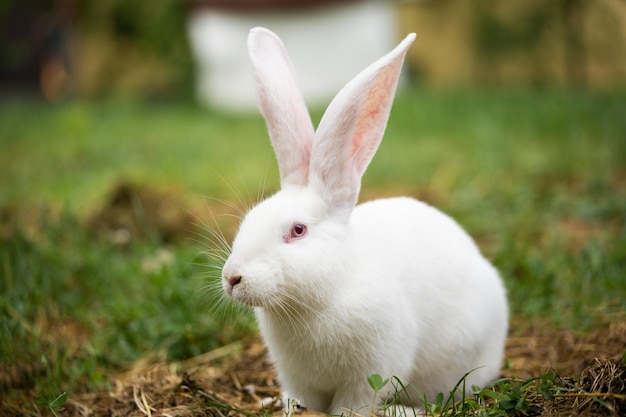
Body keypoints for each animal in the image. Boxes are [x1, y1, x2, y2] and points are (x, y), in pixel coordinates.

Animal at [221, 27, 508, 414]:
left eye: (298, 230)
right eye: (248, 219)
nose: (232, 278)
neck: (317, 302)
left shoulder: (375, 365)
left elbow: (354, 403)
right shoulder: (295, 376)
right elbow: (301, 398)